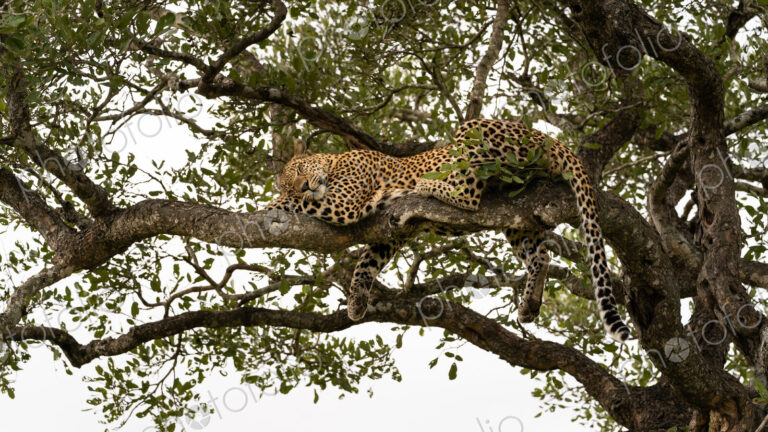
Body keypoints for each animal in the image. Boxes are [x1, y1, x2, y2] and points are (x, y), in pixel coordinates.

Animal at [265, 118, 631, 342]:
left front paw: (269, 206)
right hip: (518, 214)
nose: (302, 186)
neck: (336, 161)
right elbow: (365, 264)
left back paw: (430, 185)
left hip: (479, 134)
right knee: (539, 256)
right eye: (293, 179)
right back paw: (529, 304)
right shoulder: (389, 233)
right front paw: (356, 302)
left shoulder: (344, 202)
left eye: (298, 170)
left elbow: (291, 205)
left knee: (469, 193)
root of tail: (551, 138)